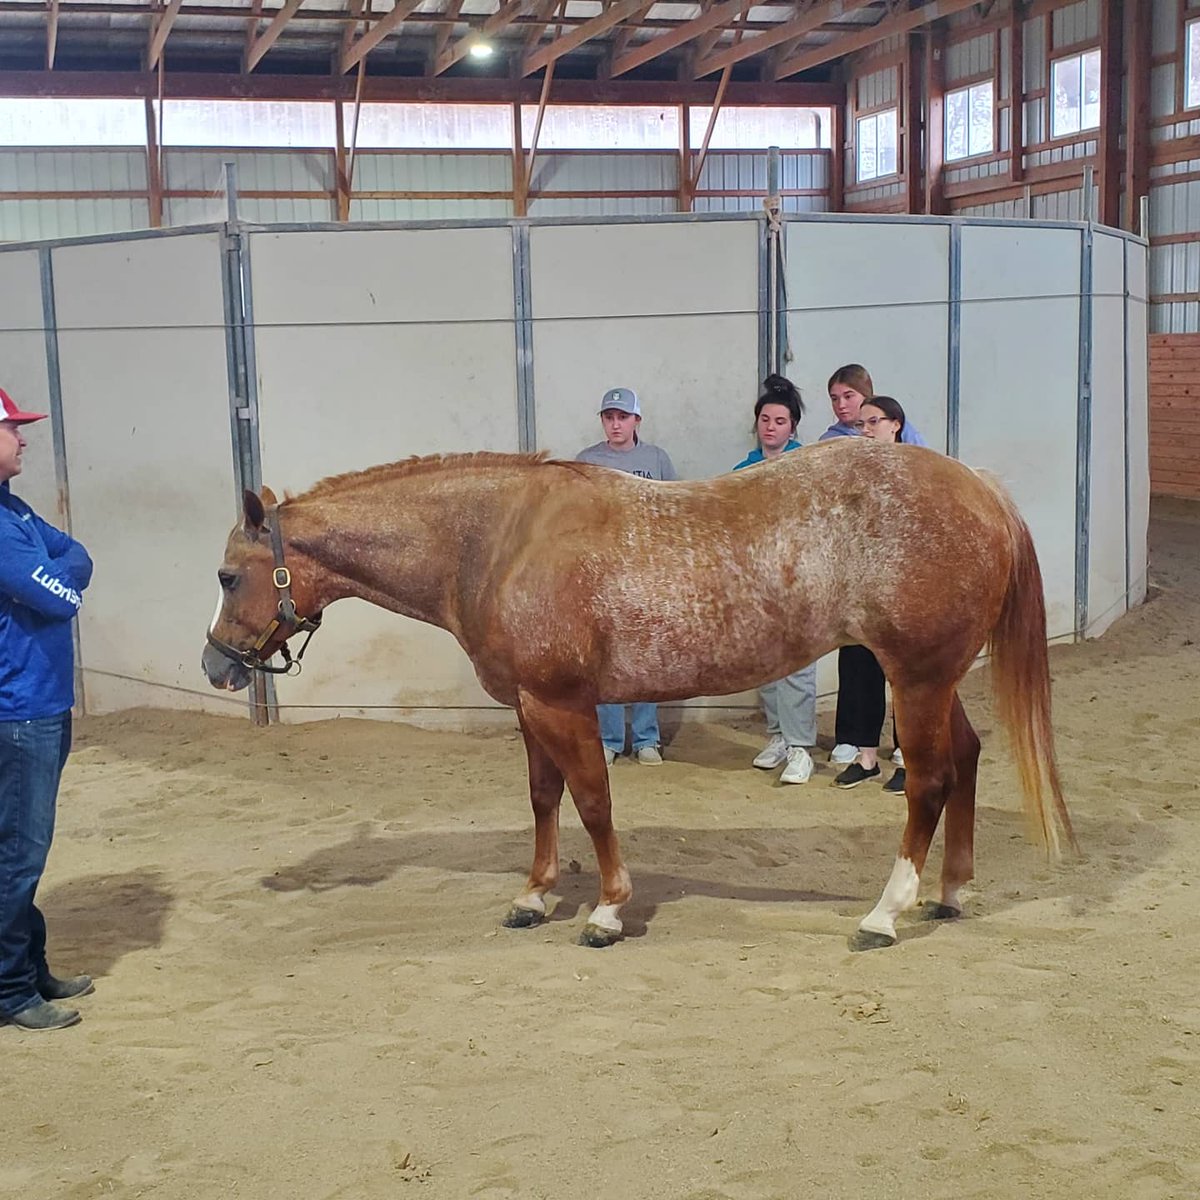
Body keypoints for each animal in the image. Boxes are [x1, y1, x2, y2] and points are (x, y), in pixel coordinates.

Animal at [201, 440, 1076, 951]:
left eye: (228, 575)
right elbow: (544, 797)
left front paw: (607, 910)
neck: (495, 539)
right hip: (936, 676)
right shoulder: (529, 707)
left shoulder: (563, 703)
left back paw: (885, 913)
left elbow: (592, 800)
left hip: (917, 675)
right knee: (967, 758)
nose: (215, 665)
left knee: (928, 779)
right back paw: (952, 892)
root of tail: (979, 487)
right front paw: (534, 896)